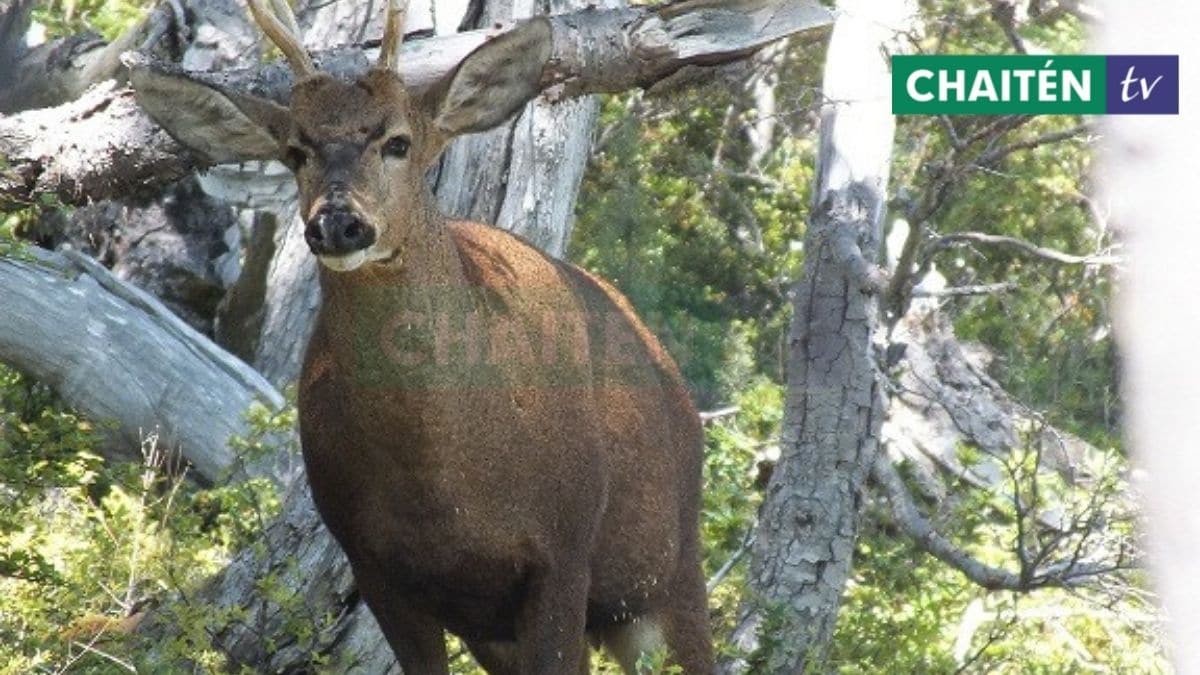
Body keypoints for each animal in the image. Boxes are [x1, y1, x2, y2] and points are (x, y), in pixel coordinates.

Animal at [135, 1, 710, 667]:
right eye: (296, 151)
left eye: (398, 142)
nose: (338, 223)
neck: (443, 479)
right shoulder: (380, 570)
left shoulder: (563, 550)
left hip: (673, 569)